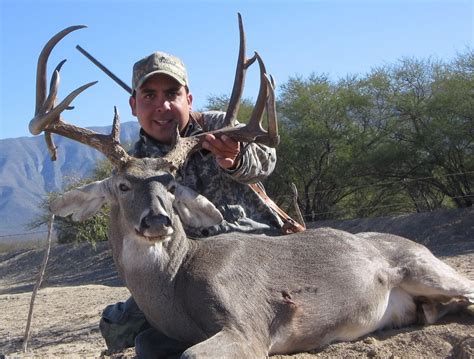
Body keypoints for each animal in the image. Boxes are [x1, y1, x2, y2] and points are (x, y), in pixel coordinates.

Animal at [30, 16, 474, 359]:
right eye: (122, 185)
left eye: (171, 183)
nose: (157, 220)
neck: (175, 286)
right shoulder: (171, 332)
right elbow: (144, 342)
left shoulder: (247, 323)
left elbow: (192, 353)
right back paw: (430, 314)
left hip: (425, 266)